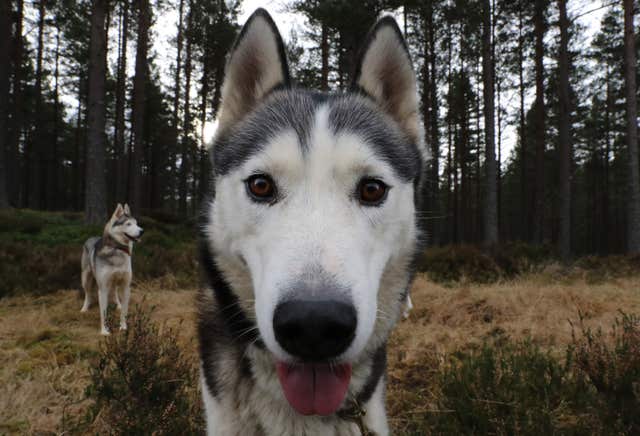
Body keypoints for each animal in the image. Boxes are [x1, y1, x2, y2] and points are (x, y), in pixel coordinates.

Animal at [81, 204, 144, 334]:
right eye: (128, 224)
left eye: (136, 223)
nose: (142, 231)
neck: (118, 250)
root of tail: (91, 237)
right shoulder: (103, 288)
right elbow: (104, 312)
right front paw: (105, 331)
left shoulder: (125, 286)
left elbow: (124, 311)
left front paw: (123, 327)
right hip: (85, 279)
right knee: (88, 294)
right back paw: (84, 308)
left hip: (115, 282)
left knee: (114, 293)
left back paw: (118, 305)